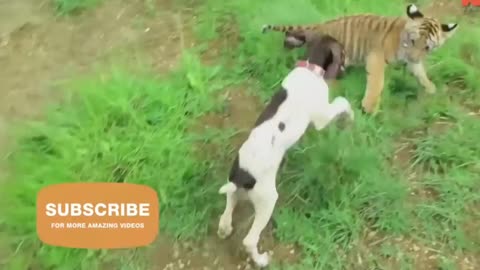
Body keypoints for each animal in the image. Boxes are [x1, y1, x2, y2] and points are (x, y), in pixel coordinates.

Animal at [216, 34, 354, 268]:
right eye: (343, 53)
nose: (349, 68)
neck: (310, 67)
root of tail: (242, 176)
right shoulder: (322, 117)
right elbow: (341, 103)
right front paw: (350, 115)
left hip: (234, 191)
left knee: (227, 210)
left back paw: (224, 229)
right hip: (267, 201)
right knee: (249, 240)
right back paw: (261, 260)